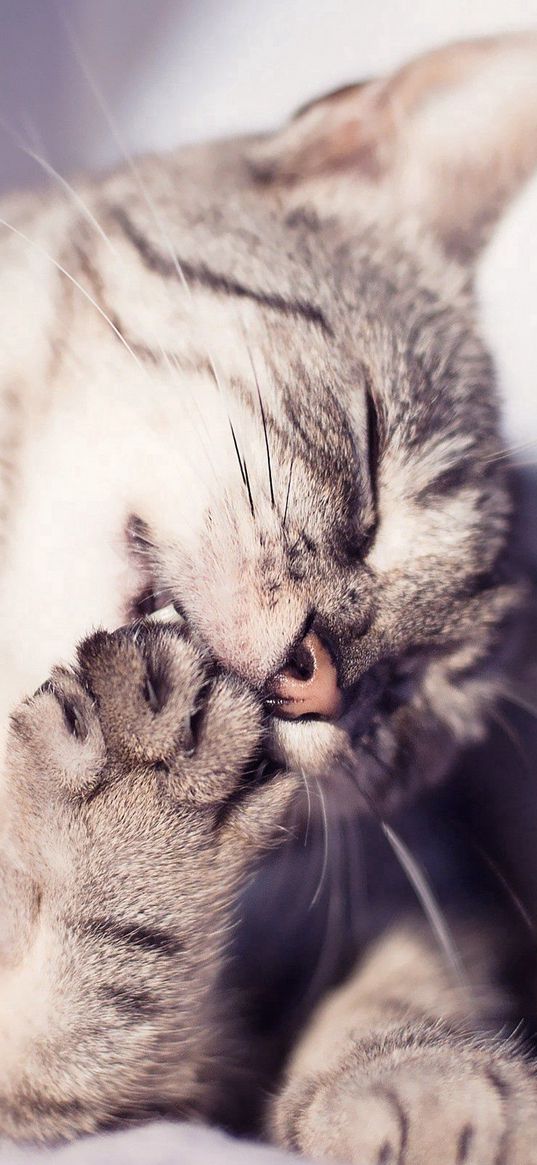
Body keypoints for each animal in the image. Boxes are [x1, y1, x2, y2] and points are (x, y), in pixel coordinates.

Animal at [0, 27, 535, 1165]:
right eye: (373, 467)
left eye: (407, 709)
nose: (323, 677)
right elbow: (72, 1044)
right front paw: (140, 822)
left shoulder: (420, 870)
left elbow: (414, 973)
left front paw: (420, 1076)